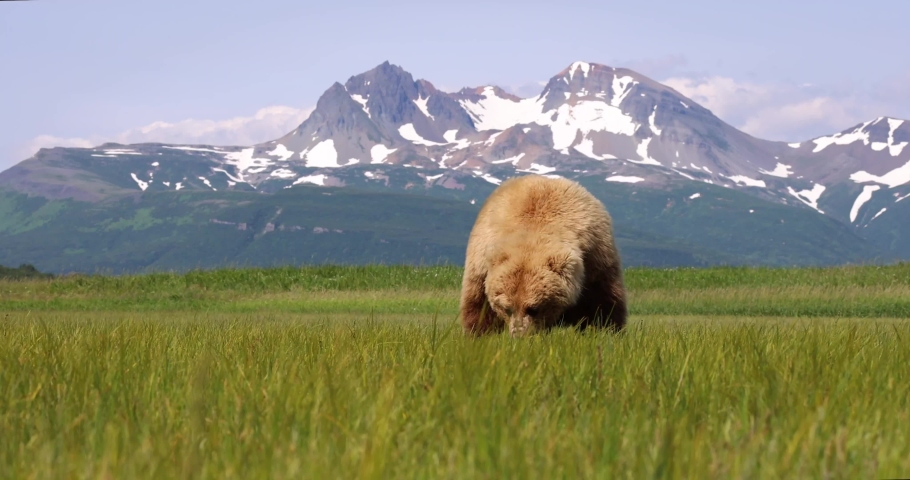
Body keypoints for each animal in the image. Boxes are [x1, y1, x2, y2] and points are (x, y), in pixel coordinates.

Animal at [459, 174, 627, 337]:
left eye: (533, 308)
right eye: (507, 308)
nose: (519, 336)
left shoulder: (594, 257)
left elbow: (602, 303)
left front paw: (606, 331)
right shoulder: (481, 261)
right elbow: (479, 306)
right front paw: (479, 333)